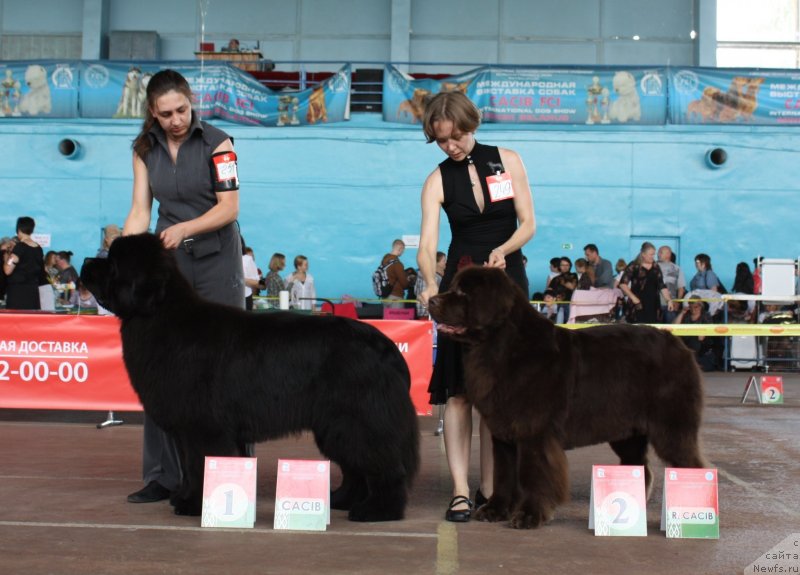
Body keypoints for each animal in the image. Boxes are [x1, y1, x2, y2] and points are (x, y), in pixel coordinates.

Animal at [80, 234, 418, 520]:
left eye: (113, 263)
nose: (85, 261)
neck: (160, 316)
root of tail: (387, 346)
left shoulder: (202, 426)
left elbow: (199, 464)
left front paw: (194, 505)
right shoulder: (186, 427)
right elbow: (188, 466)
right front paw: (184, 498)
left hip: (357, 421)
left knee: (383, 466)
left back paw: (377, 510)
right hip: (335, 425)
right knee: (354, 469)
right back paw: (340, 500)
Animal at [428, 268, 704, 528]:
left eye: (463, 292)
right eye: (453, 287)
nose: (431, 300)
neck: (501, 347)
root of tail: (677, 342)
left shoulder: (534, 433)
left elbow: (532, 474)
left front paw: (529, 516)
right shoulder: (503, 433)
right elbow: (503, 475)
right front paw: (495, 510)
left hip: (670, 428)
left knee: (690, 464)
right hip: (628, 432)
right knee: (639, 466)